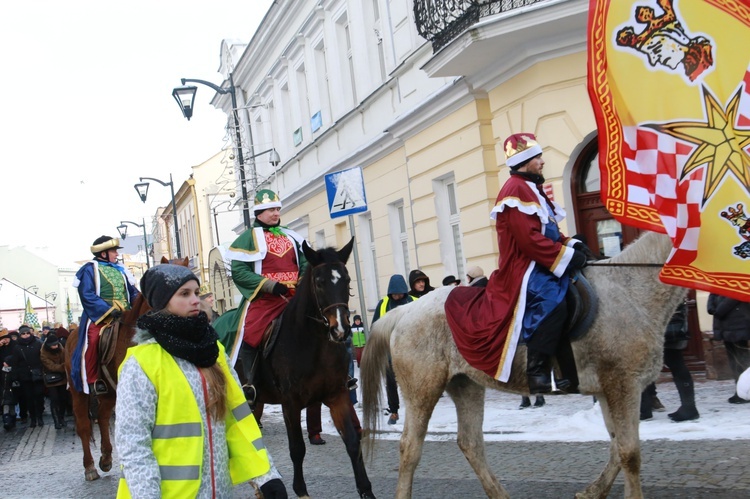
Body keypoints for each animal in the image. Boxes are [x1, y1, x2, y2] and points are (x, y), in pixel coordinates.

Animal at [64, 258, 189, 480]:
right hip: (79, 391)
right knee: (84, 425)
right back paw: (90, 467)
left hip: (109, 393)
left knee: (102, 417)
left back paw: (106, 458)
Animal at [256, 240, 376, 498]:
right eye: (319, 282)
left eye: (347, 279)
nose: (340, 329)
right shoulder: (290, 403)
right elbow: (297, 448)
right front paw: (301, 489)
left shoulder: (338, 396)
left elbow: (353, 443)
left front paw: (366, 490)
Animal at [362, 233, 688, 499]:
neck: (629, 291)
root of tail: (405, 310)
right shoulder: (623, 385)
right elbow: (629, 453)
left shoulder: (610, 390)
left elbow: (616, 446)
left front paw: (592, 492)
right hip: (423, 391)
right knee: (410, 447)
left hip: (466, 386)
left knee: (470, 443)